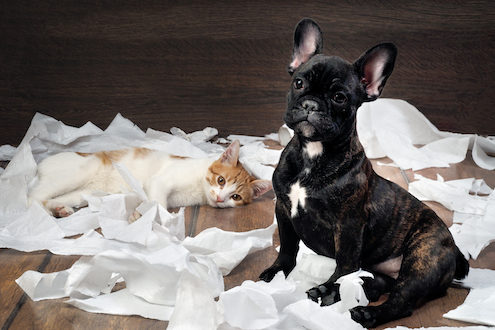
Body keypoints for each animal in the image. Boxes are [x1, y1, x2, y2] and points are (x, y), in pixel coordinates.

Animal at [29, 141, 274, 218]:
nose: (221, 198)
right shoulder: (160, 181)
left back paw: (59, 209)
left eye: (236, 196)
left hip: (83, 193)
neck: (198, 186)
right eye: (221, 180)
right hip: (77, 173)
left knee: (52, 198)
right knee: (33, 196)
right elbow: (159, 203)